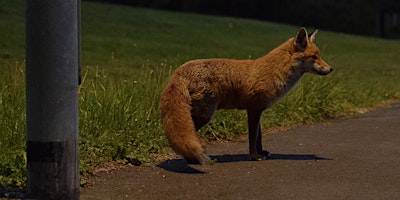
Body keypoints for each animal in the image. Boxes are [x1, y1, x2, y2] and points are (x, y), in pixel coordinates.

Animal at [159, 27, 332, 164]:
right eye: (314, 57)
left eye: (319, 56)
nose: (331, 69)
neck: (275, 72)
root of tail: (180, 69)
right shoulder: (253, 109)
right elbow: (253, 138)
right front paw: (255, 157)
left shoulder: (258, 110)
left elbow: (259, 138)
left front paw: (261, 153)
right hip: (205, 114)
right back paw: (192, 159)